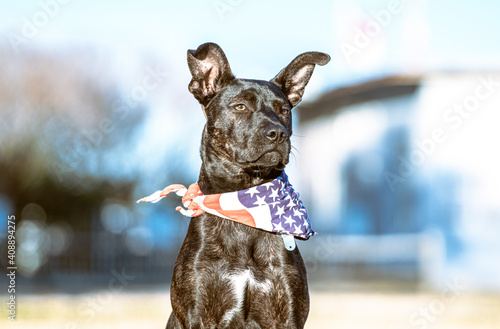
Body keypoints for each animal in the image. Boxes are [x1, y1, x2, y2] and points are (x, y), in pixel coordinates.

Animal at [166, 42, 330, 326]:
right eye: (240, 106)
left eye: (284, 110)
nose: (278, 133)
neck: (244, 199)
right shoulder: (198, 312)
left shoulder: (288, 313)